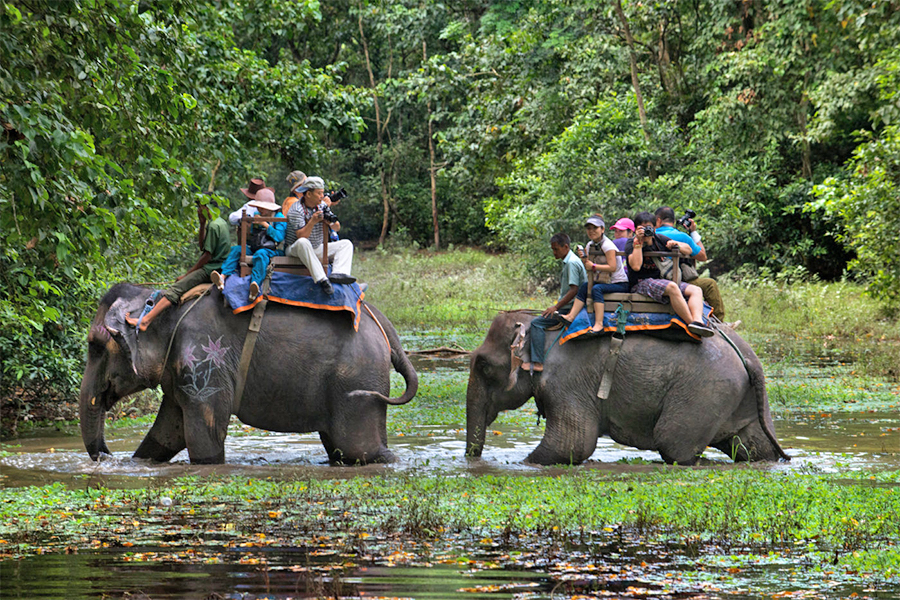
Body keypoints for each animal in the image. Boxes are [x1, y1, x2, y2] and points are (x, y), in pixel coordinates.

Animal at [81, 282, 418, 464]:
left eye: (95, 347)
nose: (107, 456)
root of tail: (381, 323)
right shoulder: (182, 371)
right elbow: (167, 433)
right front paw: (138, 462)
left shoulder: (204, 362)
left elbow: (205, 441)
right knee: (342, 450)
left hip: (357, 381)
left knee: (358, 449)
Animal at [468, 312, 792, 466]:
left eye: (483, 365)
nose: (474, 460)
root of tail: (749, 357)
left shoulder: (567, 381)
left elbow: (571, 444)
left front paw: (520, 464)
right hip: (738, 396)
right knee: (754, 447)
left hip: (706, 392)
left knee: (672, 445)